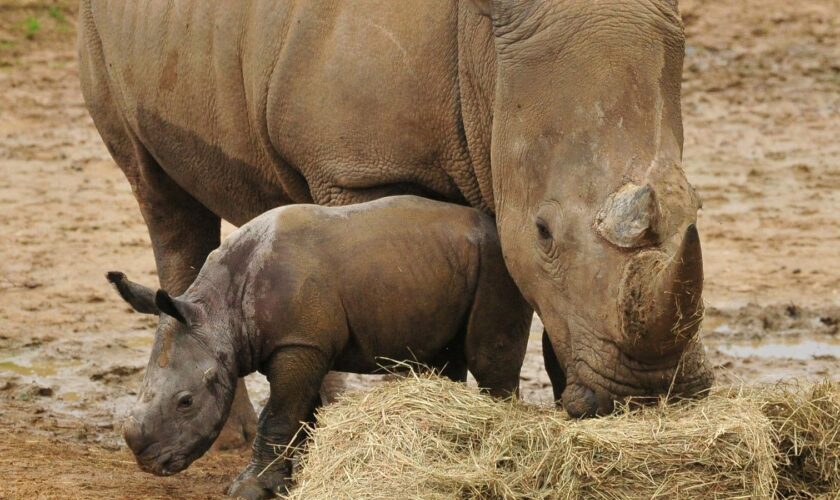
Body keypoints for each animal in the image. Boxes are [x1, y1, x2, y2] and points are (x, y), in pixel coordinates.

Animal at [108, 194, 532, 496]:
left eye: (186, 402)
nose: (149, 462)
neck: (217, 312)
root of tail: (498, 226)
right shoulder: (297, 344)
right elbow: (299, 414)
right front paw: (290, 479)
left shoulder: (299, 343)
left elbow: (279, 415)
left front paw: (248, 489)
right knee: (447, 358)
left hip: (497, 263)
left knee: (491, 359)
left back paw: (502, 457)